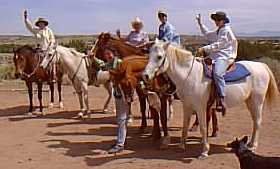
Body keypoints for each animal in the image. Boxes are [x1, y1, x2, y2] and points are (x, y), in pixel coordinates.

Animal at [143, 40, 278, 159]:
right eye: (149, 55)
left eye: (159, 57)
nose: (145, 75)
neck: (190, 75)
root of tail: (262, 65)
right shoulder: (187, 105)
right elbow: (185, 125)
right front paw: (181, 146)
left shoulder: (200, 107)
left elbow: (203, 128)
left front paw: (204, 151)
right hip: (249, 101)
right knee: (255, 121)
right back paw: (250, 144)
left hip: (257, 102)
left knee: (258, 121)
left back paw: (253, 146)